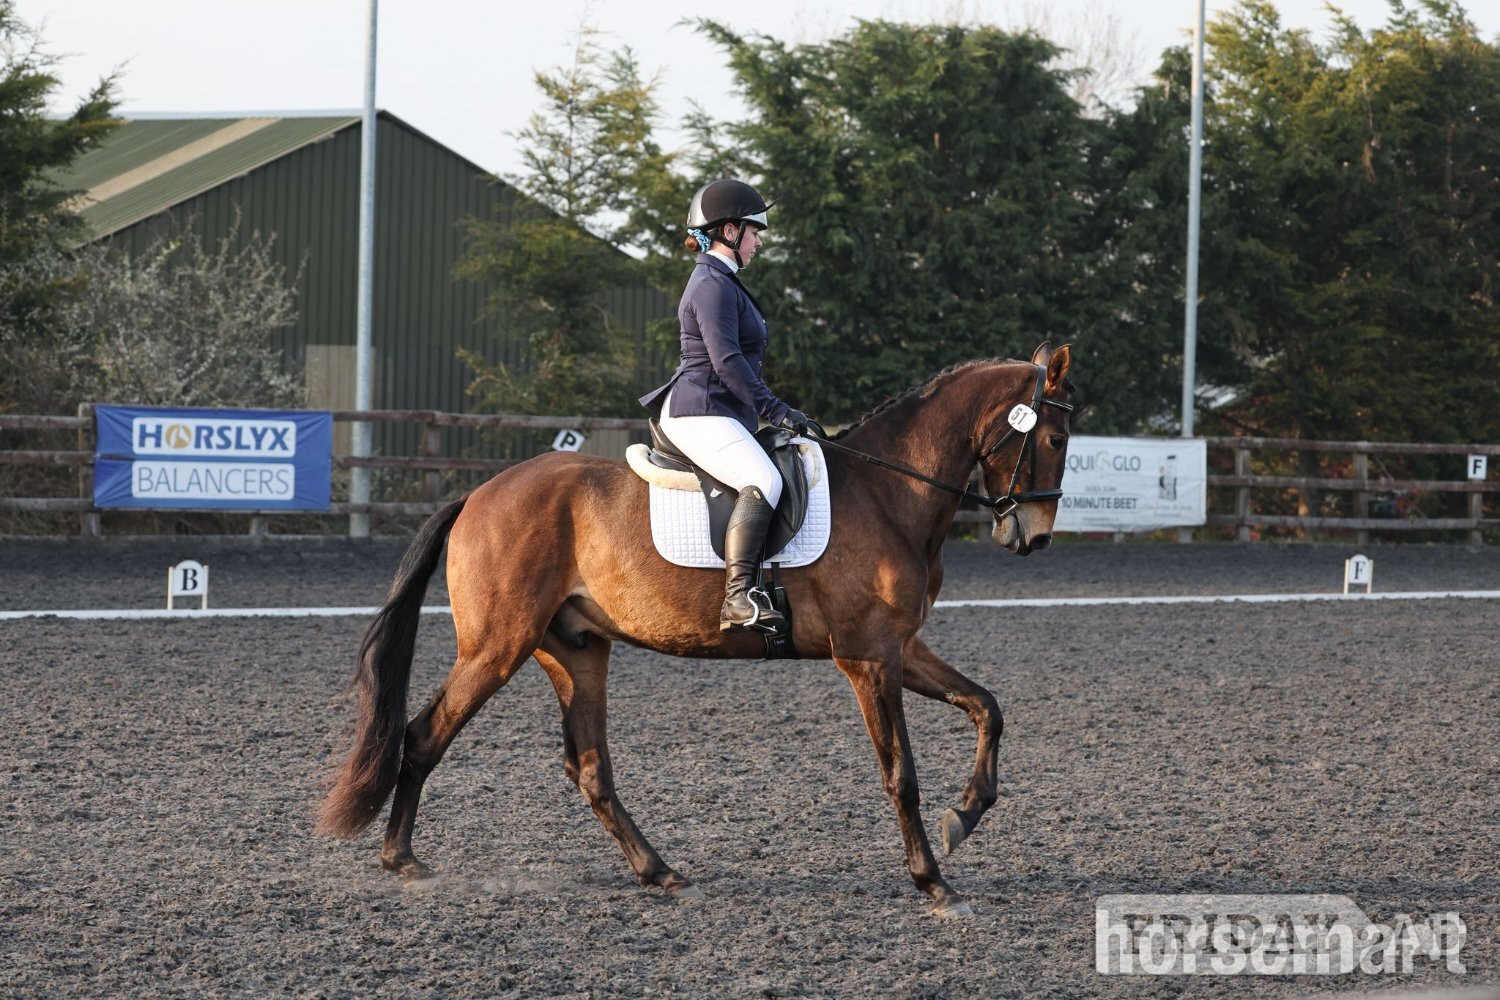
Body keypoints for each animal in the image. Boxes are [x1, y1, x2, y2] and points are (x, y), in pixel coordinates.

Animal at [317, 343, 1074, 918]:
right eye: (1056, 437)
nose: (1033, 537)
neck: (891, 493)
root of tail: (480, 492)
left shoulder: (899, 647)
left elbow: (987, 707)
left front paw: (966, 814)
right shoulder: (869, 659)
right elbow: (901, 773)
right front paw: (933, 880)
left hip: (577, 651)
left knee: (589, 768)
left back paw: (660, 872)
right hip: (496, 648)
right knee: (425, 735)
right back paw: (402, 859)